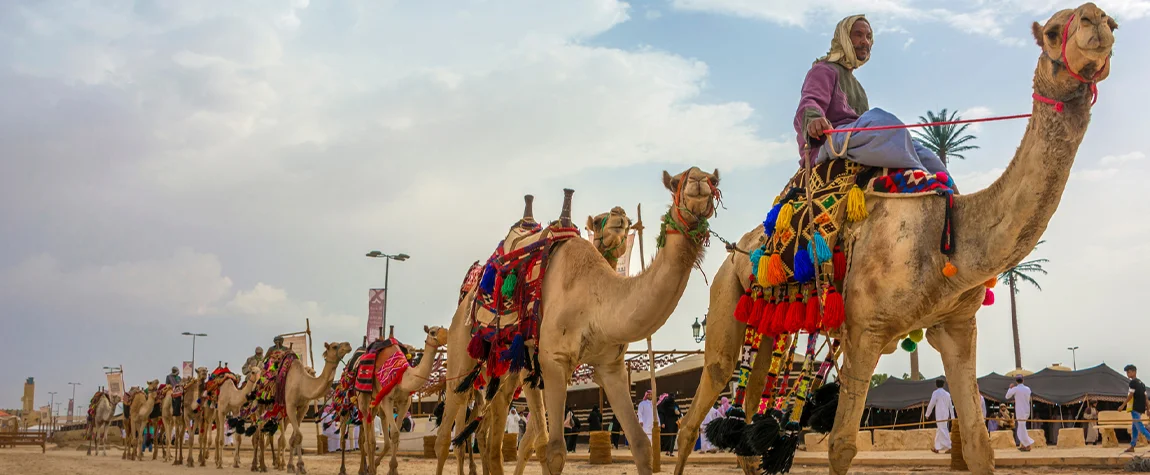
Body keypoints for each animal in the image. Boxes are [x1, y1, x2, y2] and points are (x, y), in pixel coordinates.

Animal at [353, 325, 450, 475]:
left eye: (444, 328)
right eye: (432, 332)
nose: (447, 335)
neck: (403, 376)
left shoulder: (405, 402)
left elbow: (397, 436)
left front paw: (393, 470)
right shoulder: (387, 399)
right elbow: (394, 432)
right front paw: (391, 469)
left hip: (375, 401)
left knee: (371, 429)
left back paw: (371, 467)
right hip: (362, 395)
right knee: (366, 434)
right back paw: (369, 469)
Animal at [435, 167, 720, 475]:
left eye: (714, 179)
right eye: (677, 181)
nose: (698, 181)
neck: (596, 300)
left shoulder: (610, 365)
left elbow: (640, 445)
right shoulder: (553, 360)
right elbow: (553, 451)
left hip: (506, 373)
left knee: (492, 441)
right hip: (462, 353)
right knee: (448, 433)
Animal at [671, 5, 1116, 475]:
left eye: (1110, 23)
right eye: (1052, 31)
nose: (1097, 20)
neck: (948, 238)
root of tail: (736, 250)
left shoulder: (957, 326)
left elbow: (979, 444)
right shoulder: (865, 329)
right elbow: (841, 446)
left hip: (769, 323)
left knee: (749, 420)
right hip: (725, 296)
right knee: (702, 400)